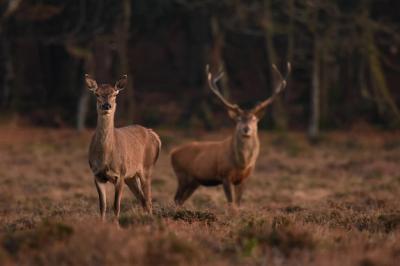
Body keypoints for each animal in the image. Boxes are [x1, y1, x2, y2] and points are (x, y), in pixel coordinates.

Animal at [85, 74, 162, 220]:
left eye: (115, 94)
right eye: (97, 94)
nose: (106, 105)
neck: (106, 156)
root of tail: (154, 134)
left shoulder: (120, 173)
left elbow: (116, 206)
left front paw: (116, 224)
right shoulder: (97, 174)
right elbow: (102, 206)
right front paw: (101, 224)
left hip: (146, 168)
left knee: (148, 200)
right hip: (131, 177)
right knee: (142, 200)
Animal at [170, 63, 290, 207]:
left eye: (254, 119)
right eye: (238, 119)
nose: (246, 129)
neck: (242, 164)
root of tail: (172, 153)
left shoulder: (244, 178)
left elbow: (237, 204)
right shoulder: (224, 175)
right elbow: (230, 203)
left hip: (194, 181)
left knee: (180, 199)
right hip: (182, 175)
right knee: (176, 198)